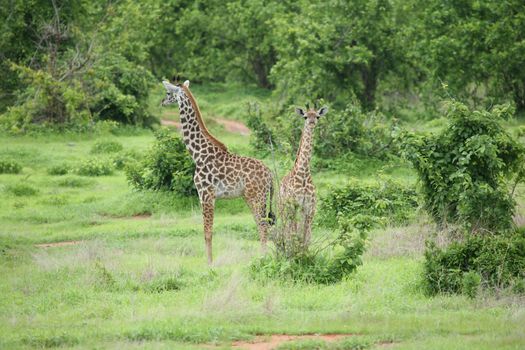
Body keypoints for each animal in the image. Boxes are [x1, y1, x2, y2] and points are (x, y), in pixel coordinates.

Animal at [160, 80, 274, 264]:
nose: (162, 102)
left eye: (168, 93)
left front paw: (209, 264)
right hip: (254, 197)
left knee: (263, 226)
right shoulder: (207, 196)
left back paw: (262, 259)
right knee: (263, 225)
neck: (198, 154)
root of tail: (270, 175)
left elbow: (207, 232)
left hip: (256, 197)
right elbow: (208, 231)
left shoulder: (205, 194)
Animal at [278, 104, 328, 249]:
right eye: (305, 116)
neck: (304, 174)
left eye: (317, 116)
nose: (311, 123)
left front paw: (304, 252)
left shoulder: (310, 208)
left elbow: (306, 237)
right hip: (283, 208)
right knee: (286, 229)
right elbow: (296, 234)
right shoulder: (295, 205)